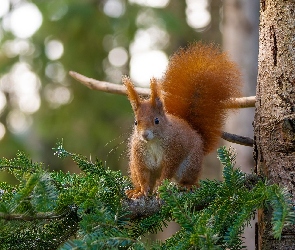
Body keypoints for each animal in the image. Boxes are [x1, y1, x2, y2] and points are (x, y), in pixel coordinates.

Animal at [123, 43, 242, 199]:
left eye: (156, 121)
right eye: (136, 122)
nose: (144, 135)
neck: (153, 142)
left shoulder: (174, 151)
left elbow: (167, 172)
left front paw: (160, 189)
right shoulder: (139, 157)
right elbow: (143, 175)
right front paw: (142, 190)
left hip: (189, 165)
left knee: (186, 178)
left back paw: (187, 185)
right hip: (132, 166)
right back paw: (135, 190)